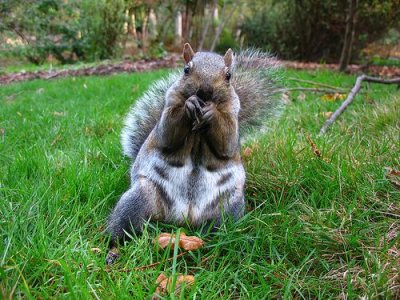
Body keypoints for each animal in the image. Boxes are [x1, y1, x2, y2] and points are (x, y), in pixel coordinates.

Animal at [106, 43, 282, 264]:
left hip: (229, 207)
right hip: (141, 197)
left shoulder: (232, 115)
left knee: (223, 229)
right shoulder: (170, 107)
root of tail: (185, 218)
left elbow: (226, 143)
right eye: (186, 70)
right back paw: (113, 251)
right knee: (123, 227)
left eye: (228, 76)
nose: (205, 91)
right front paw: (189, 104)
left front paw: (212, 112)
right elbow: (168, 132)